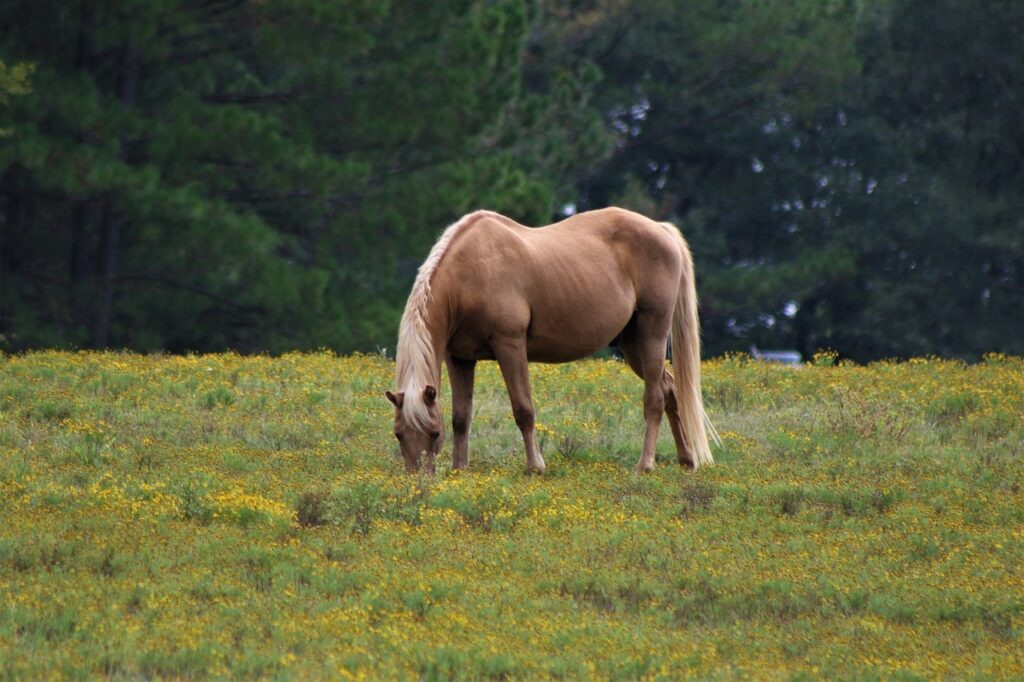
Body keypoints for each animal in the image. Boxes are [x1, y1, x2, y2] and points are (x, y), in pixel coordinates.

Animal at [385, 207, 719, 474]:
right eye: (399, 434)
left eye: (433, 433)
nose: (417, 478)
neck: (470, 272)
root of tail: (661, 230)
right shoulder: (460, 358)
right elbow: (461, 417)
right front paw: (459, 469)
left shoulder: (510, 345)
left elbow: (523, 410)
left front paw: (535, 467)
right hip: (632, 344)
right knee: (670, 389)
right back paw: (686, 461)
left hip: (652, 334)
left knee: (655, 399)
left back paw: (645, 465)